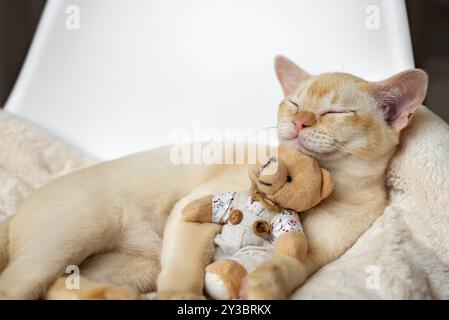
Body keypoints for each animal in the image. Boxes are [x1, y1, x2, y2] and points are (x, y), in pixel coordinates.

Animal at [0, 55, 428, 300]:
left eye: (335, 113)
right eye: (294, 104)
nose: (301, 121)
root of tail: (16, 211)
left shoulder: (310, 258)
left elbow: (287, 268)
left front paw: (263, 283)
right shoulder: (195, 210)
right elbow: (183, 276)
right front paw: (182, 296)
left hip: (133, 268)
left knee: (60, 288)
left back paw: (107, 296)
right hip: (66, 243)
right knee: (15, 285)